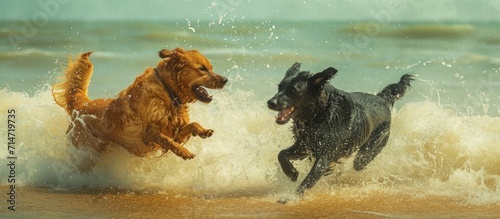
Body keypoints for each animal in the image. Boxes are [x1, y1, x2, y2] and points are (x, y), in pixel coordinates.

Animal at [268, 62, 412, 203]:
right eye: (279, 87)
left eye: (293, 90)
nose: (270, 102)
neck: (320, 114)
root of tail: (382, 99)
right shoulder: (305, 145)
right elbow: (281, 154)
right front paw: (292, 173)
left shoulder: (325, 155)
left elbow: (309, 179)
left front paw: (290, 197)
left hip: (370, 149)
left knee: (359, 163)